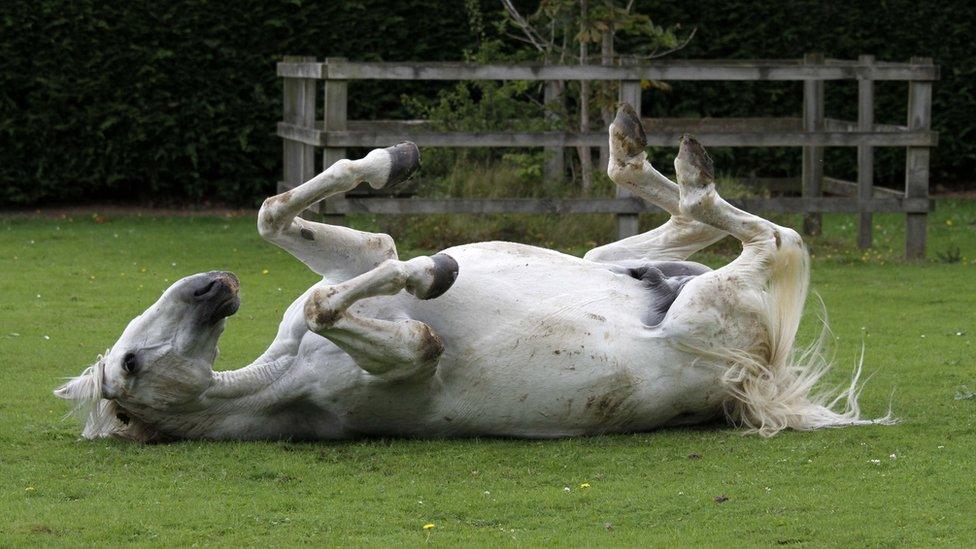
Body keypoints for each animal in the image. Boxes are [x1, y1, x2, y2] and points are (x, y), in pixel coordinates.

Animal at [55, 106, 892, 440]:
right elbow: (353, 302)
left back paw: (640, 151)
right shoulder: (410, 354)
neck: (280, 377)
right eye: (130, 364)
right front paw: (433, 268)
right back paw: (675, 168)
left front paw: (390, 163)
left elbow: (281, 220)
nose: (214, 286)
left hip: (632, 266)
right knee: (775, 236)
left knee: (684, 228)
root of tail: (756, 380)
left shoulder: (361, 258)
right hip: (712, 306)